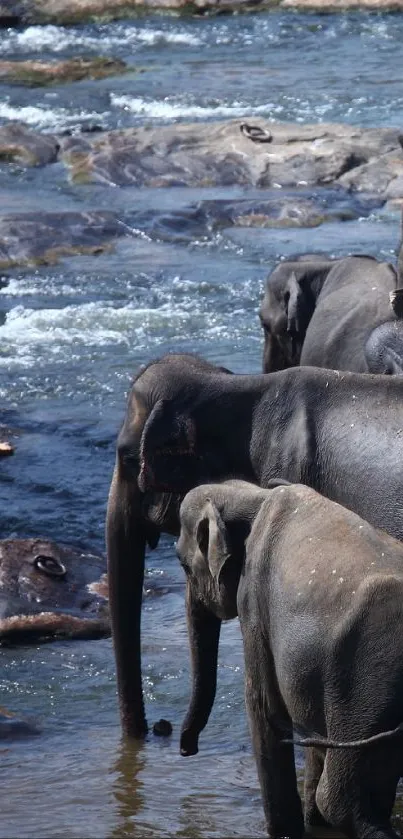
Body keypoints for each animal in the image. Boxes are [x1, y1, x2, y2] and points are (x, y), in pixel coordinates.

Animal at [178, 480, 403, 839]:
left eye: (184, 566)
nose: (187, 749)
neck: (255, 495)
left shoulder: (254, 605)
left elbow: (263, 708)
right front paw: (312, 825)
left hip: (364, 685)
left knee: (341, 799)